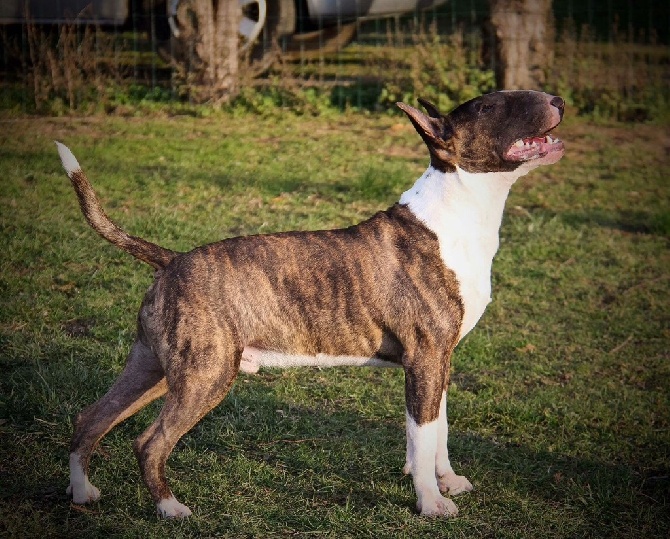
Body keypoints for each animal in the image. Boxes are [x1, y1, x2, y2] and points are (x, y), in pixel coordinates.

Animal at [56, 90, 568, 520]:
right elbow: (422, 436)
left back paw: (82, 493)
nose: (558, 100)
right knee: (149, 443)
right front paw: (430, 503)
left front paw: (448, 481)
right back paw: (170, 508)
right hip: (205, 376)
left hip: (154, 368)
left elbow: (435, 430)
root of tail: (171, 259)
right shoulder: (424, 358)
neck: (456, 215)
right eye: (488, 107)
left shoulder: (440, 359)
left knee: (91, 418)